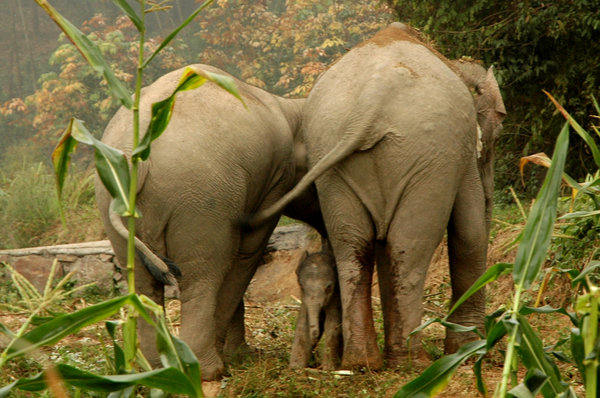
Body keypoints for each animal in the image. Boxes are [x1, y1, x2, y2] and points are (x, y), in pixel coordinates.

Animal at [95, 63, 328, 380]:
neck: (290, 107)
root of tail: (137, 156)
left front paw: (239, 355)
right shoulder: (274, 181)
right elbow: (246, 253)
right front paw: (236, 357)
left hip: (116, 203)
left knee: (143, 283)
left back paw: (158, 369)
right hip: (200, 198)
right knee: (202, 274)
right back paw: (208, 370)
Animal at [247, 23, 506, 368]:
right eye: (495, 138)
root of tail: (372, 101)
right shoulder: (460, 157)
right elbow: (470, 233)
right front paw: (467, 351)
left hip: (332, 156)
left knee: (354, 245)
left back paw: (362, 362)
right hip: (428, 156)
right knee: (409, 245)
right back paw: (413, 361)